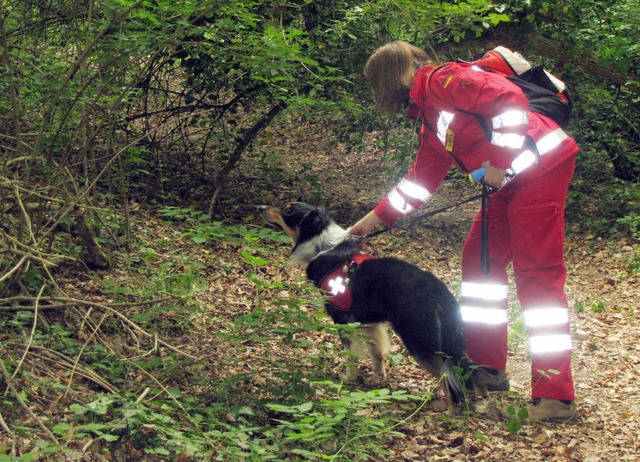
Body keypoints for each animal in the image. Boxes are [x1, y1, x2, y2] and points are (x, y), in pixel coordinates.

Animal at [260, 202, 480, 412]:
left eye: (287, 210)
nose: (261, 207)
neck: (321, 245)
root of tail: (437, 288)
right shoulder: (369, 322)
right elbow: (377, 353)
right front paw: (378, 380)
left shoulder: (343, 319)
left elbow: (351, 354)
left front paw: (348, 378)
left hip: (418, 338)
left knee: (447, 375)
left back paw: (450, 411)